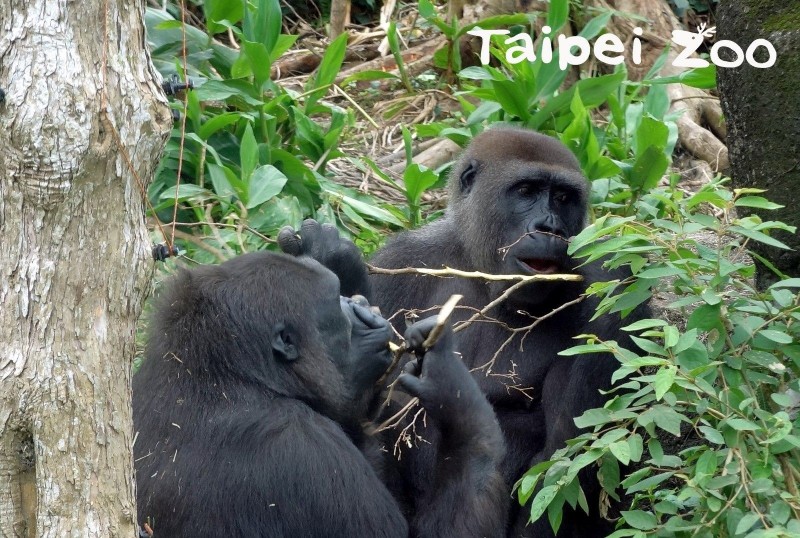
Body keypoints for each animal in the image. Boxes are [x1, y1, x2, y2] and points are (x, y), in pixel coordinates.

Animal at [280, 126, 648, 536]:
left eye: (564, 198)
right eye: (526, 191)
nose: (550, 227)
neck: (481, 269)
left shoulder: (612, 288)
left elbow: (565, 465)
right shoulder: (402, 260)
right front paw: (336, 267)